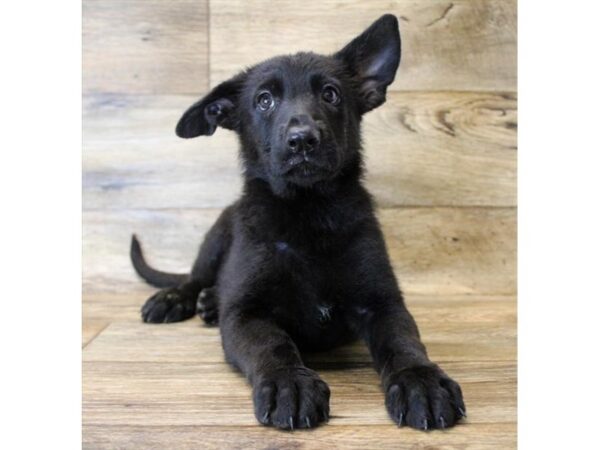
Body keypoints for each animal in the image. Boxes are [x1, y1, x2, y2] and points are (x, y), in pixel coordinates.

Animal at [132, 13, 468, 428]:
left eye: (330, 94)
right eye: (264, 100)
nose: (303, 139)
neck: (309, 214)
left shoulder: (383, 302)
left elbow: (404, 341)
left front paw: (420, 380)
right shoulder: (246, 315)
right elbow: (274, 344)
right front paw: (289, 383)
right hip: (216, 237)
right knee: (195, 277)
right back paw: (180, 298)